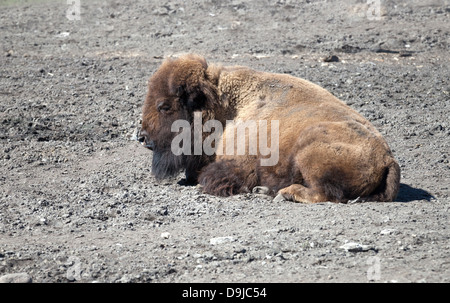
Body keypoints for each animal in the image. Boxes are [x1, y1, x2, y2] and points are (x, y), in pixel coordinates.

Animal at [139, 54, 400, 204]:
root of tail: (388, 159)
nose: (142, 137)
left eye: (164, 106)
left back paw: (285, 193)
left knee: (325, 194)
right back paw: (265, 190)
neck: (227, 106)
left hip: (308, 153)